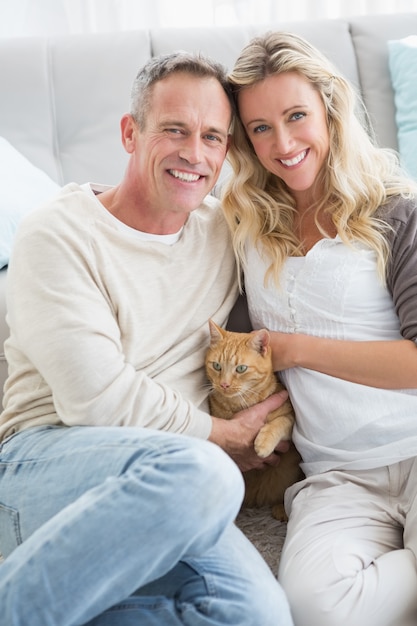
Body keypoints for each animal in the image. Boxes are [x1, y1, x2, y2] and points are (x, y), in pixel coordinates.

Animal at [205, 320, 302, 520]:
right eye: (217, 366)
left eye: (241, 368)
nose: (224, 384)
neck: (240, 403)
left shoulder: (291, 421)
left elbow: (279, 422)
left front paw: (263, 443)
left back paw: (281, 509)